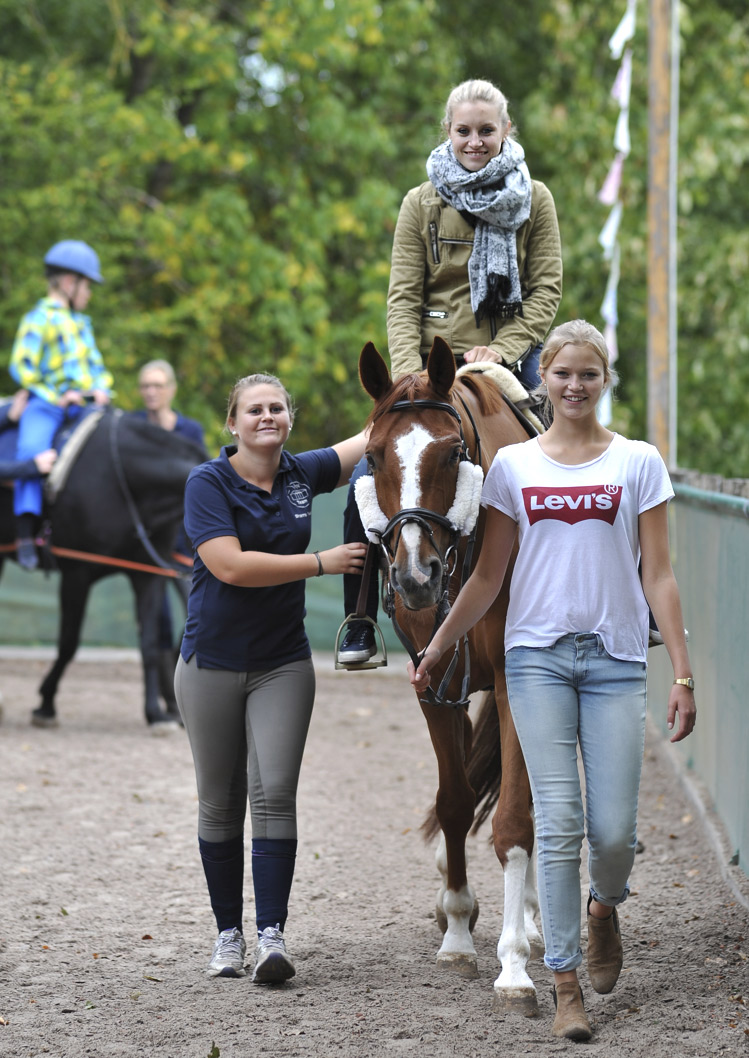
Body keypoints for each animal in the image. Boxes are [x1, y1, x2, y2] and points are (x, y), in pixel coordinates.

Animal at [0, 410, 205, 727]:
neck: (123, 480)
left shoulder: (147, 575)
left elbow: (148, 643)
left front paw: (155, 713)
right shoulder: (77, 575)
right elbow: (68, 643)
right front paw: (46, 703)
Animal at [357, 334, 541, 1011]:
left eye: (454, 451)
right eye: (373, 455)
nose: (415, 577)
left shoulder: (518, 681)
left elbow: (514, 818)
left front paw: (513, 965)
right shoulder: (435, 685)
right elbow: (457, 801)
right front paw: (458, 927)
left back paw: (534, 922)